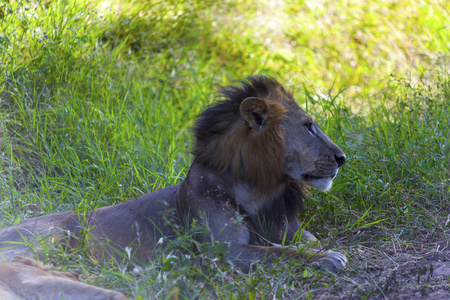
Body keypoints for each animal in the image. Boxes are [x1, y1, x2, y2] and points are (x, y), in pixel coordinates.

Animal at [0, 75, 348, 274]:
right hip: (51, 235)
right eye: (308, 126)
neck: (262, 192)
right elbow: (282, 253)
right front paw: (328, 258)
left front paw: (322, 251)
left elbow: (303, 241)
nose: (343, 158)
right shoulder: (226, 253)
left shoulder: (289, 229)